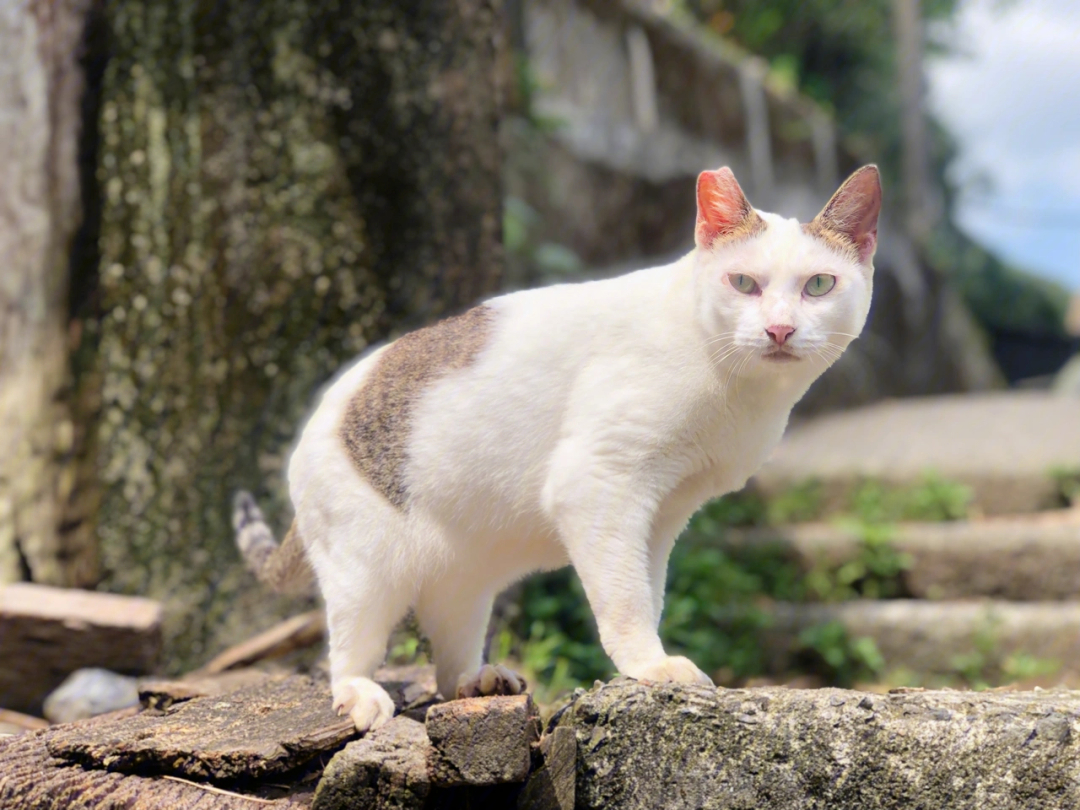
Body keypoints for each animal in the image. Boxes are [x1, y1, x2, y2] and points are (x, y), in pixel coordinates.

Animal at [234, 165, 876, 734]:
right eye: (744, 283)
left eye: (819, 285)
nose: (779, 330)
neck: (738, 392)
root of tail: (317, 417)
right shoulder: (599, 483)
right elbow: (625, 596)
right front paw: (650, 666)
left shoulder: (665, 513)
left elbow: (649, 589)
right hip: (363, 569)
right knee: (348, 648)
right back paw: (360, 693)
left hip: (463, 578)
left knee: (446, 656)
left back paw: (477, 680)